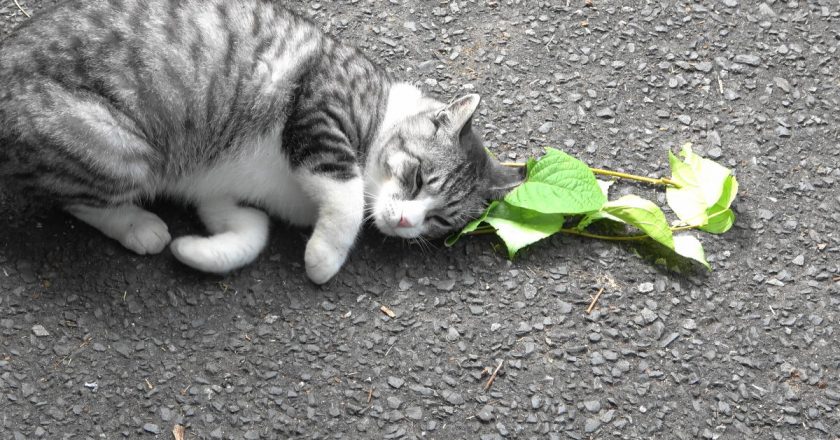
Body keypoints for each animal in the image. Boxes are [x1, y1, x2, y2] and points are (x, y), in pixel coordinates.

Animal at [0, 0, 524, 284]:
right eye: (417, 178)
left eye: (438, 220)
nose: (403, 221)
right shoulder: (319, 113)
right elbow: (347, 196)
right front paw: (323, 259)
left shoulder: (216, 193)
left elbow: (252, 230)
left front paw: (197, 251)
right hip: (117, 148)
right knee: (72, 197)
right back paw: (139, 225)